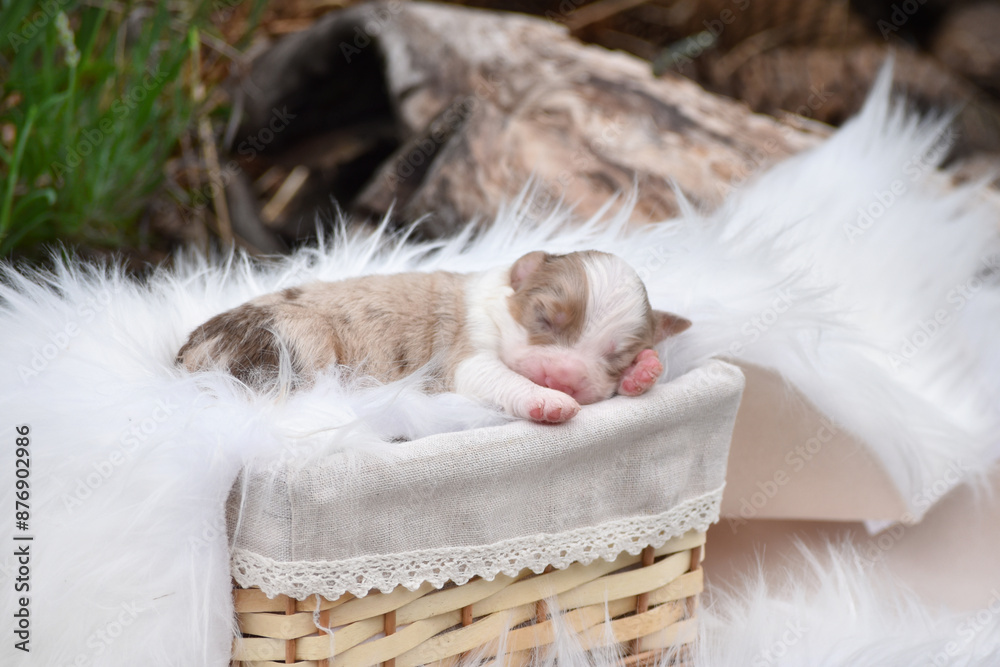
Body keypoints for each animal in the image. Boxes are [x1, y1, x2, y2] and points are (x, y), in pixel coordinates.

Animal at [177, 250, 691, 423]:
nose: (561, 378)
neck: (500, 303)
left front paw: (645, 371)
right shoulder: (466, 357)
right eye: (543, 318)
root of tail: (182, 360)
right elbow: (498, 377)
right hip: (295, 340)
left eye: (616, 357)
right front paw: (547, 400)